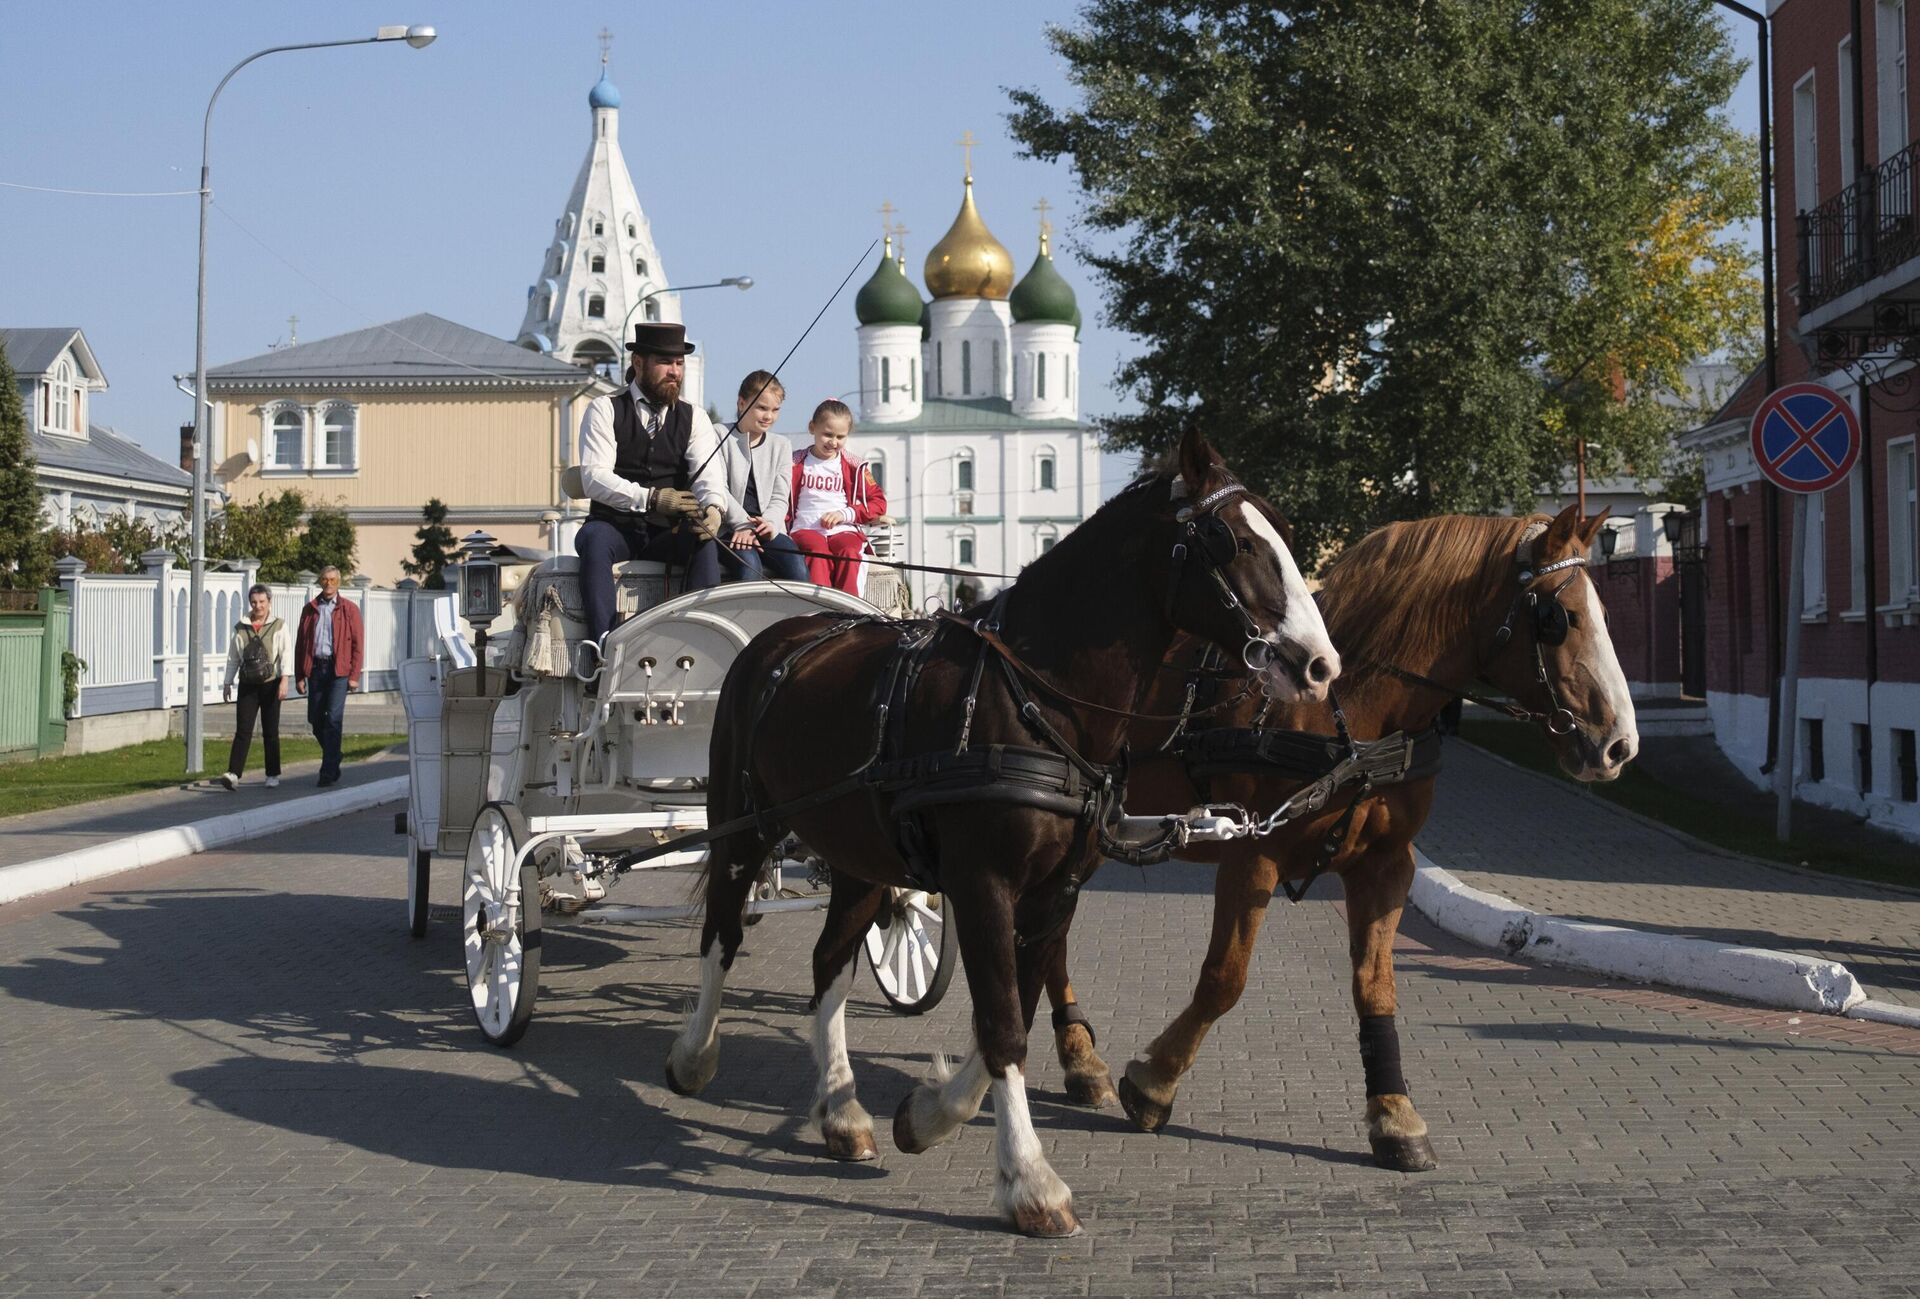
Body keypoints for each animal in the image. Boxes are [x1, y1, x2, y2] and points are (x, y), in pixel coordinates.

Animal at [668, 427, 1344, 1235]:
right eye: (1234, 541)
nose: (1321, 665)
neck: (1033, 701)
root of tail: (783, 637)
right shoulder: (983, 884)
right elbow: (1002, 1026)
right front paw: (1030, 1181)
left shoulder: (1054, 892)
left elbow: (1010, 1009)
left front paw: (927, 1114)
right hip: (743, 829)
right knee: (721, 934)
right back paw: (694, 1055)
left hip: (859, 855)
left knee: (830, 962)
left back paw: (840, 1110)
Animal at [1044, 502, 1643, 1166]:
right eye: (1559, 619)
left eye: (1603, 613)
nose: (1620, 745)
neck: (1351, 716)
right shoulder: (1253, 857)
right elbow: (1224, 980)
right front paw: (1155, 1083)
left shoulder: (1385, 865)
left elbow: (1376, 987)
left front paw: (1395, 1115)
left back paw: (1077, 1060)